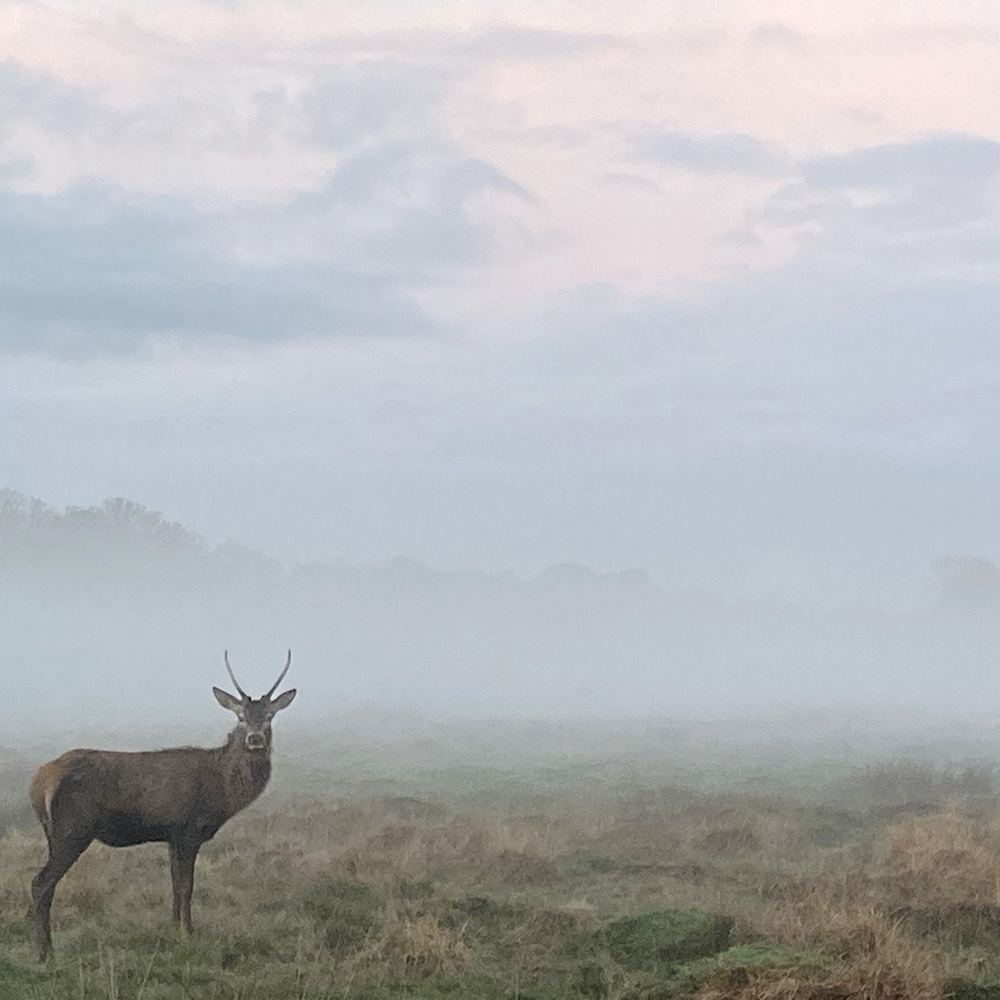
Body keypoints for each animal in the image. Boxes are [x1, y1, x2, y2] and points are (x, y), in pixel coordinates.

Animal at [28, 650, 297, 961]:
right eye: (240, 716)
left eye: (269, 716)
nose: (255, 739)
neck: (222, 792)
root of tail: (40, 781)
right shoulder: (189, 830)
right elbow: (186, 885)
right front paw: (189, 932)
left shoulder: (171, 835)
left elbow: (173, 885)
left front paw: (173, 927)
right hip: (72, 830)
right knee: (41, 882)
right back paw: (46, 953)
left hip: (54, 831)